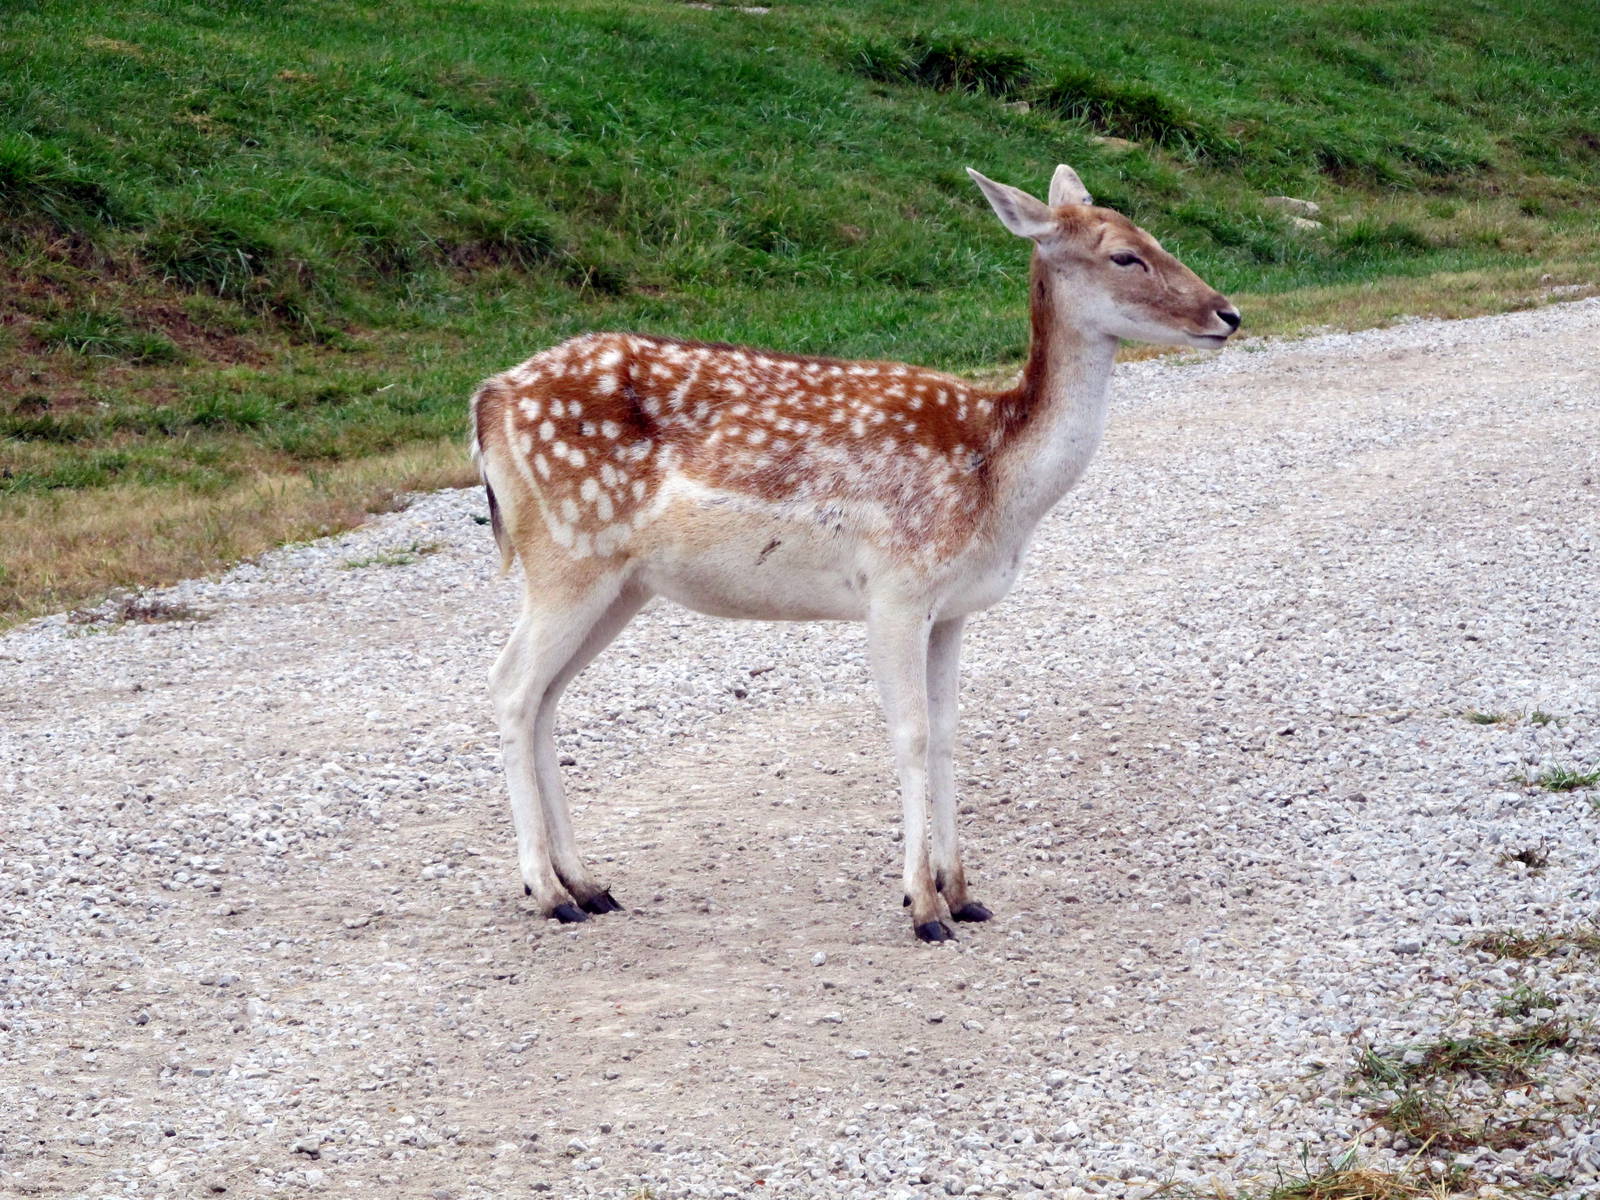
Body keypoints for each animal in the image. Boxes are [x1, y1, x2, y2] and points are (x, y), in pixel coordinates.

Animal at [470, 164, 1239, 943]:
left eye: (1155, 237)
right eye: (1125, 256)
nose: (1228, 314)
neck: (996, 479)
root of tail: (486, 400)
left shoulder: (954, 607)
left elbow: (949, 733)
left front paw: (964, 892)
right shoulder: (895, 588)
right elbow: (911, 734)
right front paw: (923, 906)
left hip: (621, 583)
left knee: (546, 697)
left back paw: (588, 882)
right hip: (566, 553)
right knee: (510, 686)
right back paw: (547, 891)